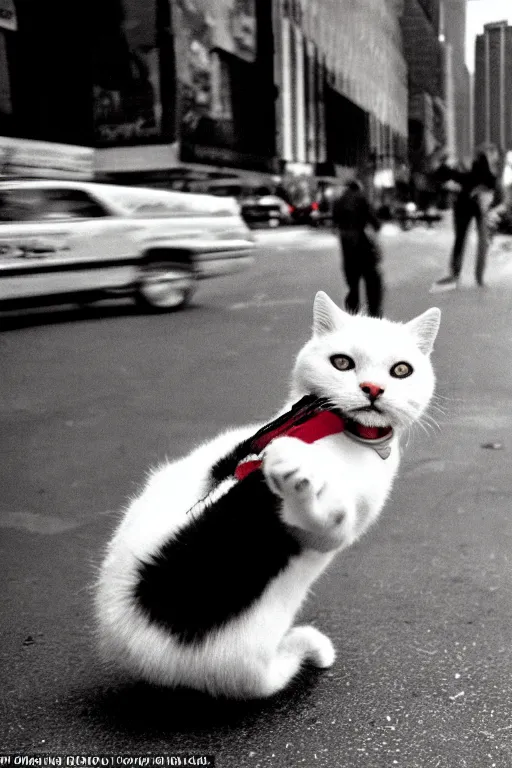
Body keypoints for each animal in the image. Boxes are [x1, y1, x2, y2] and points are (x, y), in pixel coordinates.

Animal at [95, 294, 440, 704]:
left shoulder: (334, 531)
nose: (372, 388)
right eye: (342, 362)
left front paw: (297, 480)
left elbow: (331, 515)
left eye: (401, 370)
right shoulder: (242, 458)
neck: (344, 436)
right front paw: (290, 471)